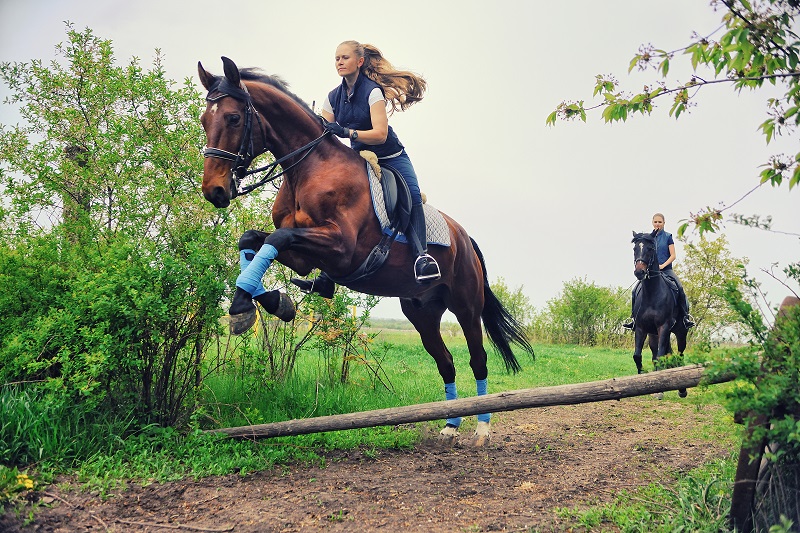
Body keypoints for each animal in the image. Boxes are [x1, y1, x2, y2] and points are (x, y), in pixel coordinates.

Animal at [197, 57, 534, 443]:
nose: (214, 191)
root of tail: (465, 237)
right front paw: (269, 303)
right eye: (205, 120)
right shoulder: (305, 256)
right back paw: (450, 425)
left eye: (233, 118)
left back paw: (481, 428)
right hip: (422, 313)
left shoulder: (340, 247)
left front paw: (244, 305)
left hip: (465, 304)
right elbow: (253, 239)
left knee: (477, 359)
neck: (310, 168)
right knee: (445, 362)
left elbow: (274, 239)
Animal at [630, 230, 688, 398]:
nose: (639, 272)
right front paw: (641, 377)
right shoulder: (641, 328)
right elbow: (638, 355)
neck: (652, 293)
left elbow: (662, 356)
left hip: (680, 332)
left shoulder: (664, 326)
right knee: (657, 354)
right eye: (635, 249)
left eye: (650, 249)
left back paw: (682, 390)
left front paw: (660, 389)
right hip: (653, 334)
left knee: (680, 354)